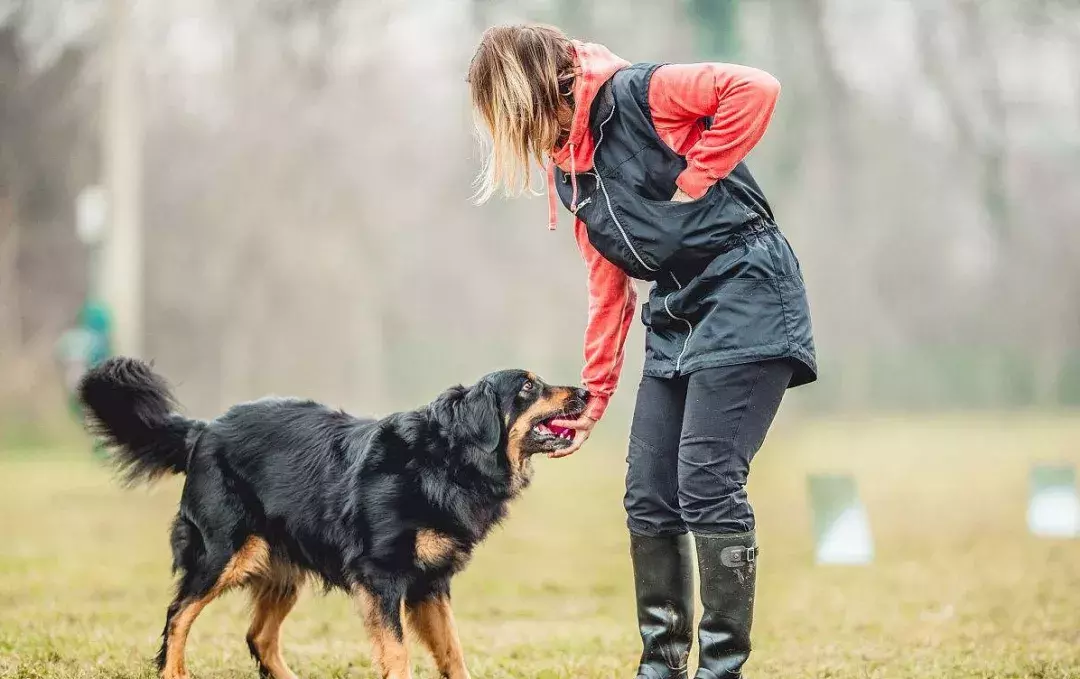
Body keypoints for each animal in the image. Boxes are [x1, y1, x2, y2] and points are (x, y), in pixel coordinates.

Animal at [79, 354, 587, 677]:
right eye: (528, 386)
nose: (586, 391)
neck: (446, 458)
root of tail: (202, 431)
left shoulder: (431, 583)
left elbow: (453, 653)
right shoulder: (381, 576)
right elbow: (398, 653)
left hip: (282, 567)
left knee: (259, 637)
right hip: (225, 552)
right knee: (178, 613)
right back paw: (174, 672)